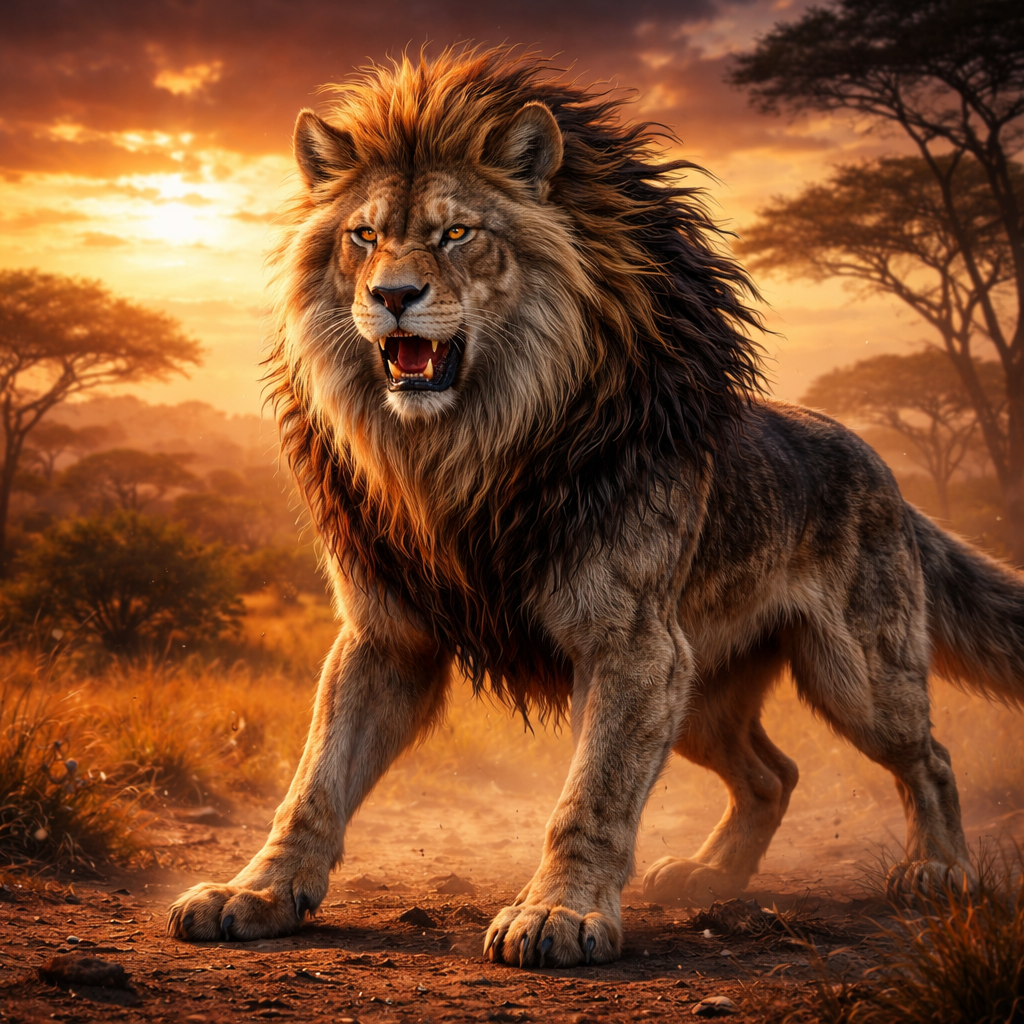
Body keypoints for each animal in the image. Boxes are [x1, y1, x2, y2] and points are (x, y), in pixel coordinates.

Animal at [167, 48, 1024, 967]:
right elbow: (314, 782)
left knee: (929, 756)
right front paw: (254, 893)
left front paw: (559, 913)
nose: (392, 295)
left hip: (852, 676)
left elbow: (595, 793)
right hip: (701, 692)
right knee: (774, 773)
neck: (459, 452)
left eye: (456, 234)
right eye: (363, 236)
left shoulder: (633, 643)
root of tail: (879, 464)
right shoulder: (386, 635)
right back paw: (708, 877)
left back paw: (937, 871)